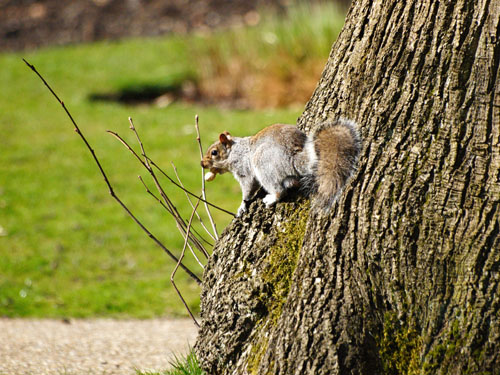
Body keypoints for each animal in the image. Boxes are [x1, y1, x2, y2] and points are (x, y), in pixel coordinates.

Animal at [201, 119, 362, 216]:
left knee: (280, 190)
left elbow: (248, 187)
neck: (235, 150)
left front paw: (242, 205)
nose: (202, 164)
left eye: (214, 153)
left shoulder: (243, 169)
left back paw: (272, 198)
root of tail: (293, 159)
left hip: (263, 162)